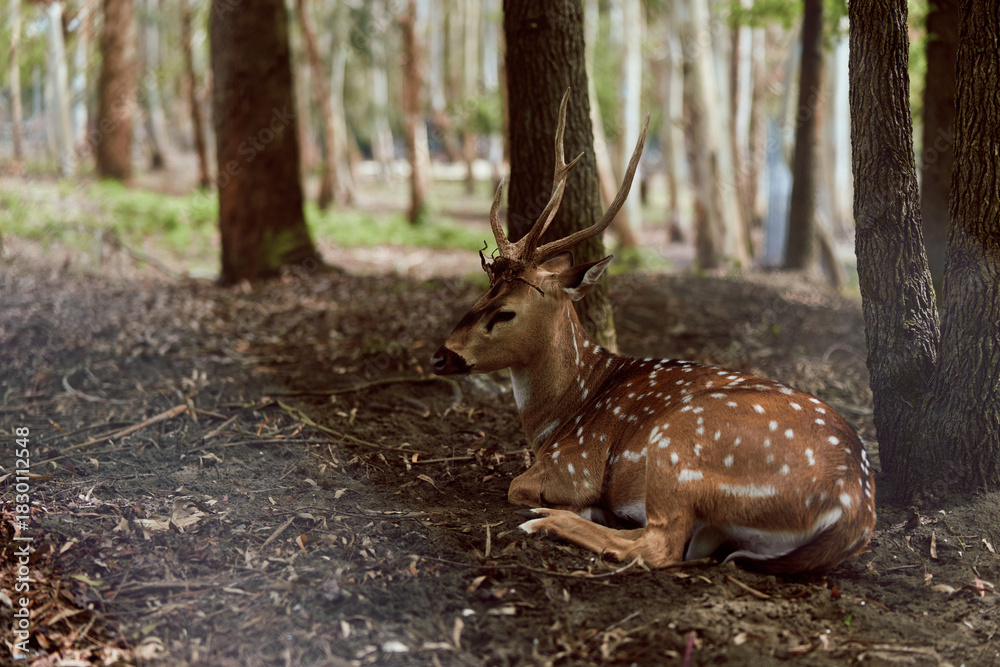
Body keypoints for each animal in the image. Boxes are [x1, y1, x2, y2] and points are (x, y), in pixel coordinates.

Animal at [430, 90, 876, 574]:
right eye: (482, 292)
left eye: (506, 312)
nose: (441, 356)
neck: (562, 415)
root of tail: (851, 510)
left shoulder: (577, 462)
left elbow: (516, 485)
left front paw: (569, 505)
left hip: (677, 443)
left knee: (659, 545)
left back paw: (546, 520)